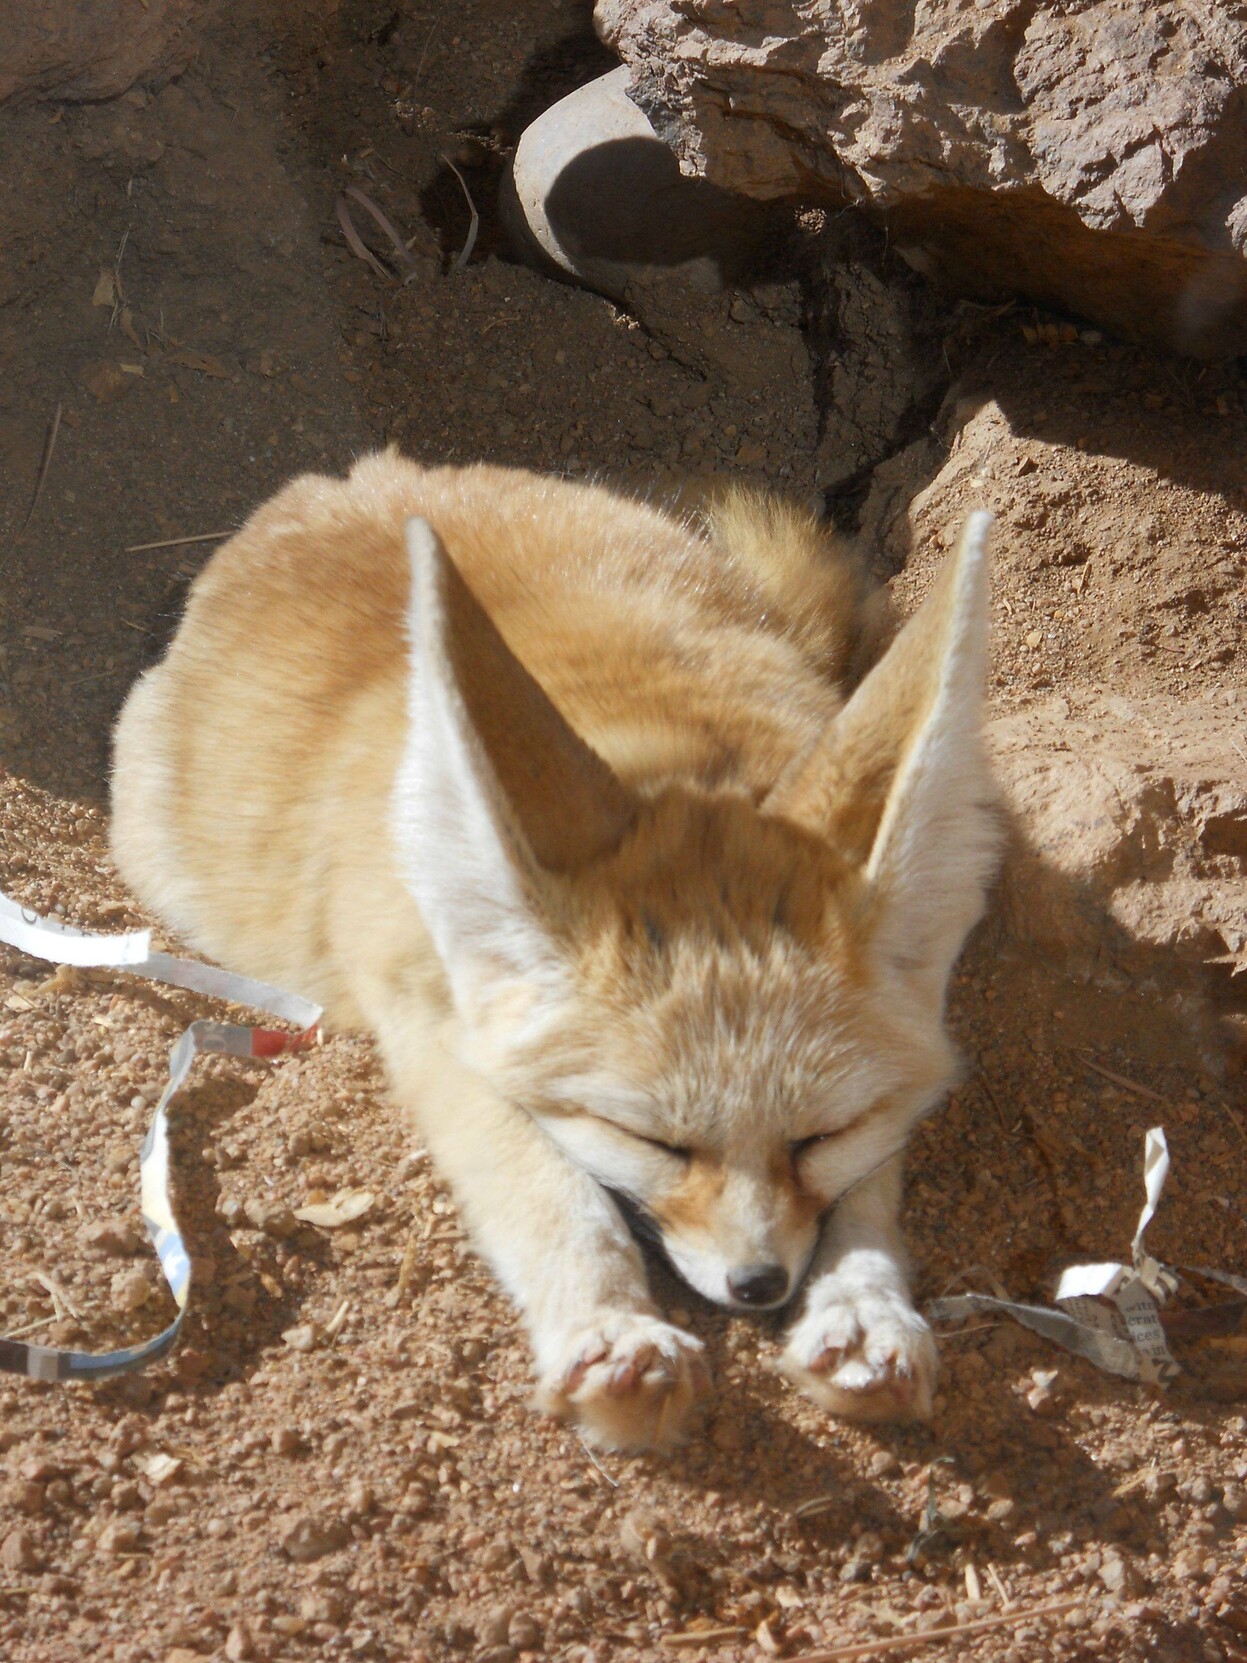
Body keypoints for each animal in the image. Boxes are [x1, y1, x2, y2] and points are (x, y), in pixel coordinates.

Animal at [109, 451, 998, 1452]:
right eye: (650, 1140)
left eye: (819, 1135)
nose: (759, 1284)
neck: (679, 752)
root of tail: (344, 480)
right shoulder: (426, 1020)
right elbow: (545, 1188)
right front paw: (609, 1326)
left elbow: (871, 1188)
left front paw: (865, 1305)